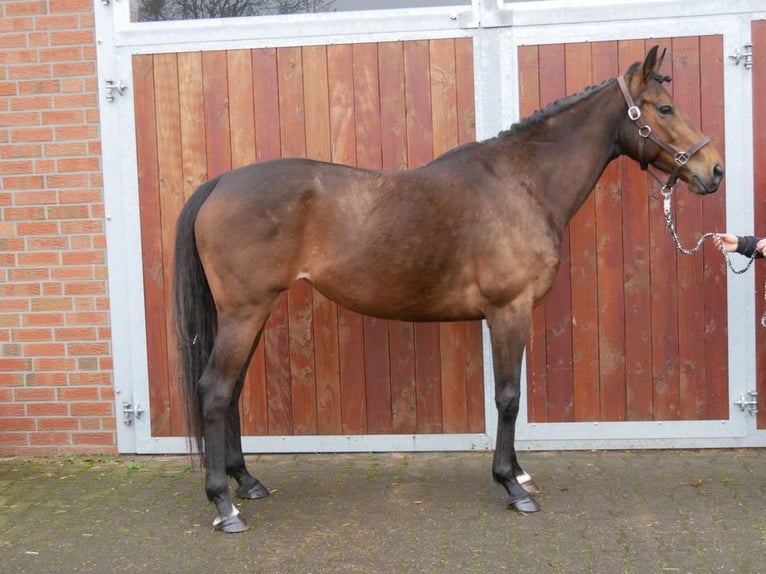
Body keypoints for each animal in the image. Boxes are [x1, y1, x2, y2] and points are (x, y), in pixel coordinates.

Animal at [172, 46, 728, 536]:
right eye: (664, 107)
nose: (714, 170)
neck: (522, 184)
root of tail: (220, 184)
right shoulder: (508, 310)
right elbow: (508, 397)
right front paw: (512, 486)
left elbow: (510, 395)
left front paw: (519, 472)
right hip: (245, 312)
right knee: (215, 390)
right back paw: (224, 506)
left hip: (252, 313)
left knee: (233, 389)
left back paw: (247, 482)